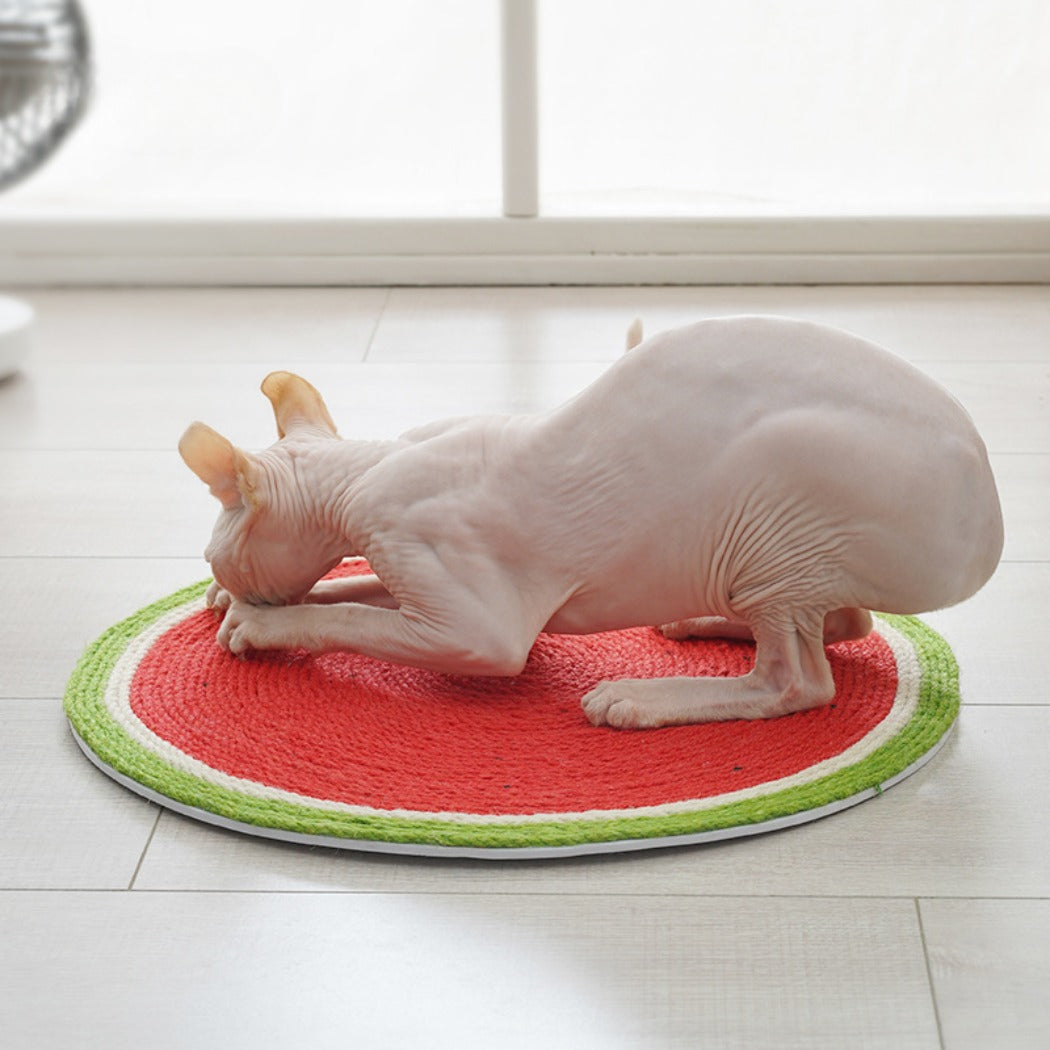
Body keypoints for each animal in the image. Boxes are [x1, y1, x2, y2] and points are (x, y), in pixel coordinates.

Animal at [180, 317, 999, 730]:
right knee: (850, 619)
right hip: (791, 562)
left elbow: (353, 615)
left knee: (798, 681)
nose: (219, 578)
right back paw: (702, 621)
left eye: (212, 550)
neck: (371, 466)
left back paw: (641, 698)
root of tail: (990, 520)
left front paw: (260, 625)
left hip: (780, 498)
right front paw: (235, 604)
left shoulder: (473, 618)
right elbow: (352, 590)